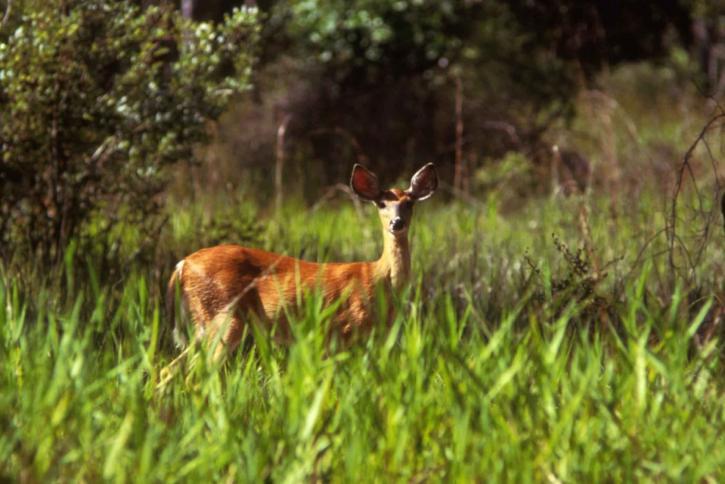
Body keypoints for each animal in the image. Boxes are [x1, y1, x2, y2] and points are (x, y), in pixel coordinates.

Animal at [165, 163, 436, 356]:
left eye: (409, 203)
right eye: (381, 203)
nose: (396, 223)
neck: (379, 278)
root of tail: (182, 265)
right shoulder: (343, 330)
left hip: (205, 324)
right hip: (223, 316)